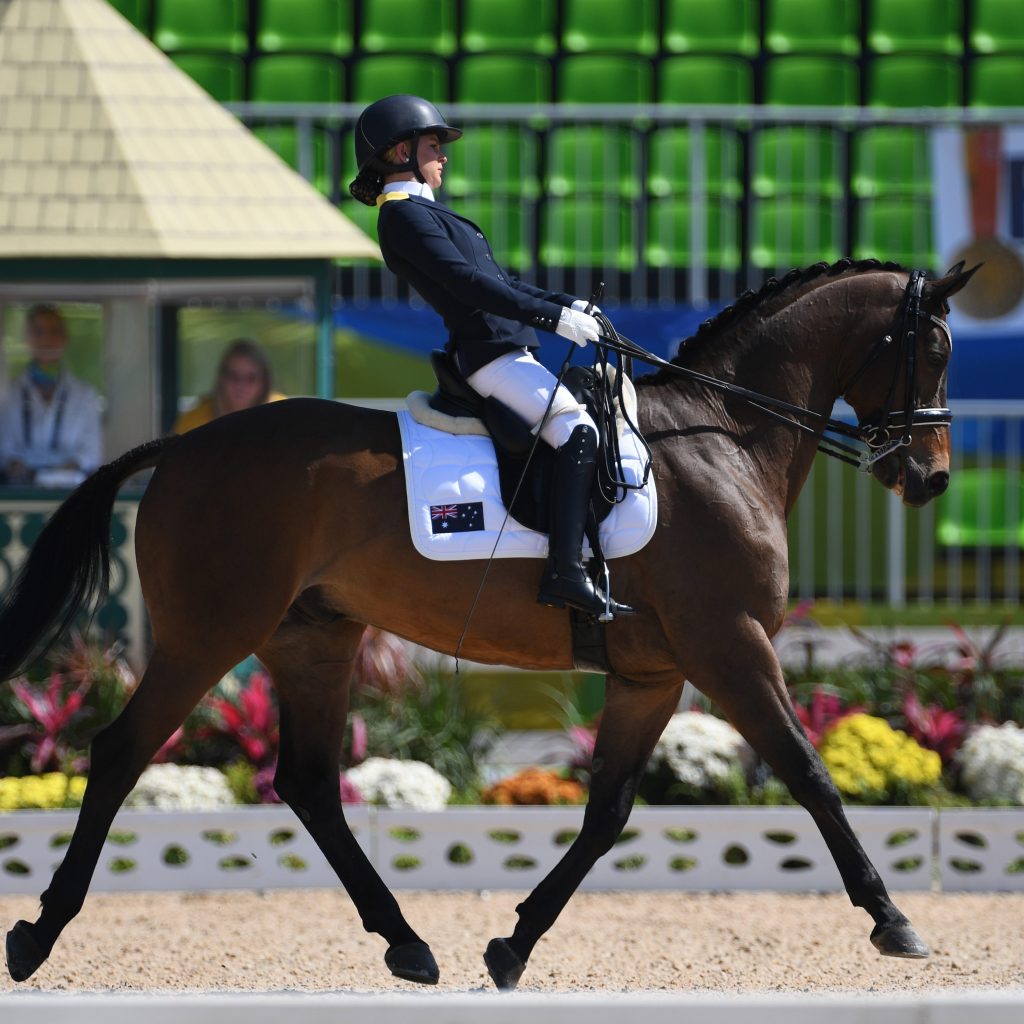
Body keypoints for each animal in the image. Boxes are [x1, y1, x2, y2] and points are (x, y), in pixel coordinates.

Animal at [0, 256, 974, 983]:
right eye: (929, 346)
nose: (930, 479)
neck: (723, 433)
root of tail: (184, 443)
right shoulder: (729, 646)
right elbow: (810, 774)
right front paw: (892, 918)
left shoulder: (654, 674)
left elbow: (607, 813)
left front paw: (511, 946)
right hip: (209, 636)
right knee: (121, 751)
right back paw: (39, 934)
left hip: (314, 641)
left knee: (309, 783)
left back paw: (407, 943)